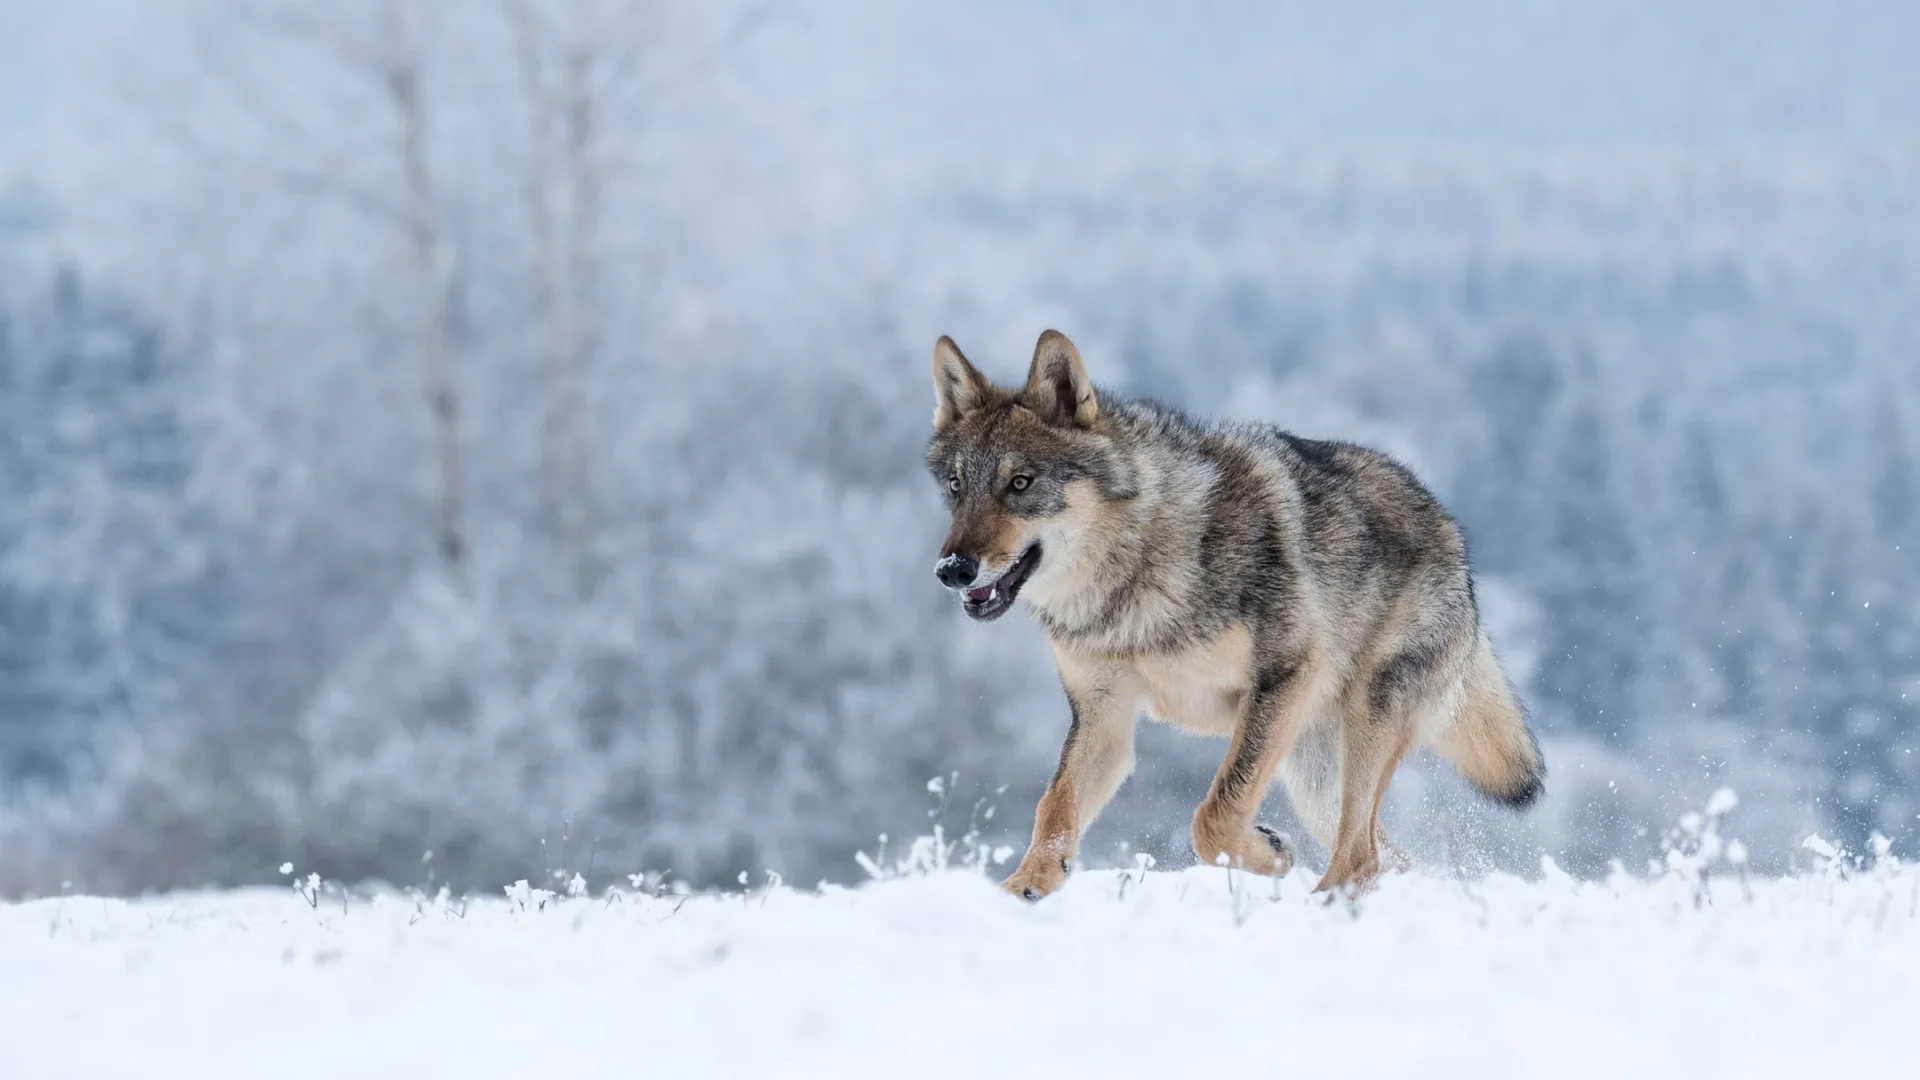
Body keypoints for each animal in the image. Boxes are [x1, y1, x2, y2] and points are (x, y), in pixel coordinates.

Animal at [921, 330, 1536, 899]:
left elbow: (1213, 815)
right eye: (956, 486)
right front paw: (1024, 889)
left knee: (1360, 856)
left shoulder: (1278, 678)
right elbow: (1053, 806)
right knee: (1386, 856)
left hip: (1363, 725)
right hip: (1313, 781)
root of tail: (1451, 530)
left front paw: (1271, 855)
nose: (952, 569)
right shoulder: (1103, 717)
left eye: (1020, 483)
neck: (1136, 574)